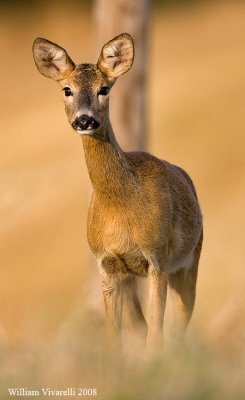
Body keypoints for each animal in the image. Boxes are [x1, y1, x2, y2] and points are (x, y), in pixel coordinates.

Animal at [33, 32, 203, 350]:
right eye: (67, 89)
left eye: (103, 89)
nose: (84, 120)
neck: (120, 209)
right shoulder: (107, 264)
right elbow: (117, 337)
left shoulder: (157, 257)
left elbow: (157, 335)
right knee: (143, 326)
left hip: (189, 259)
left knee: (180, 322)